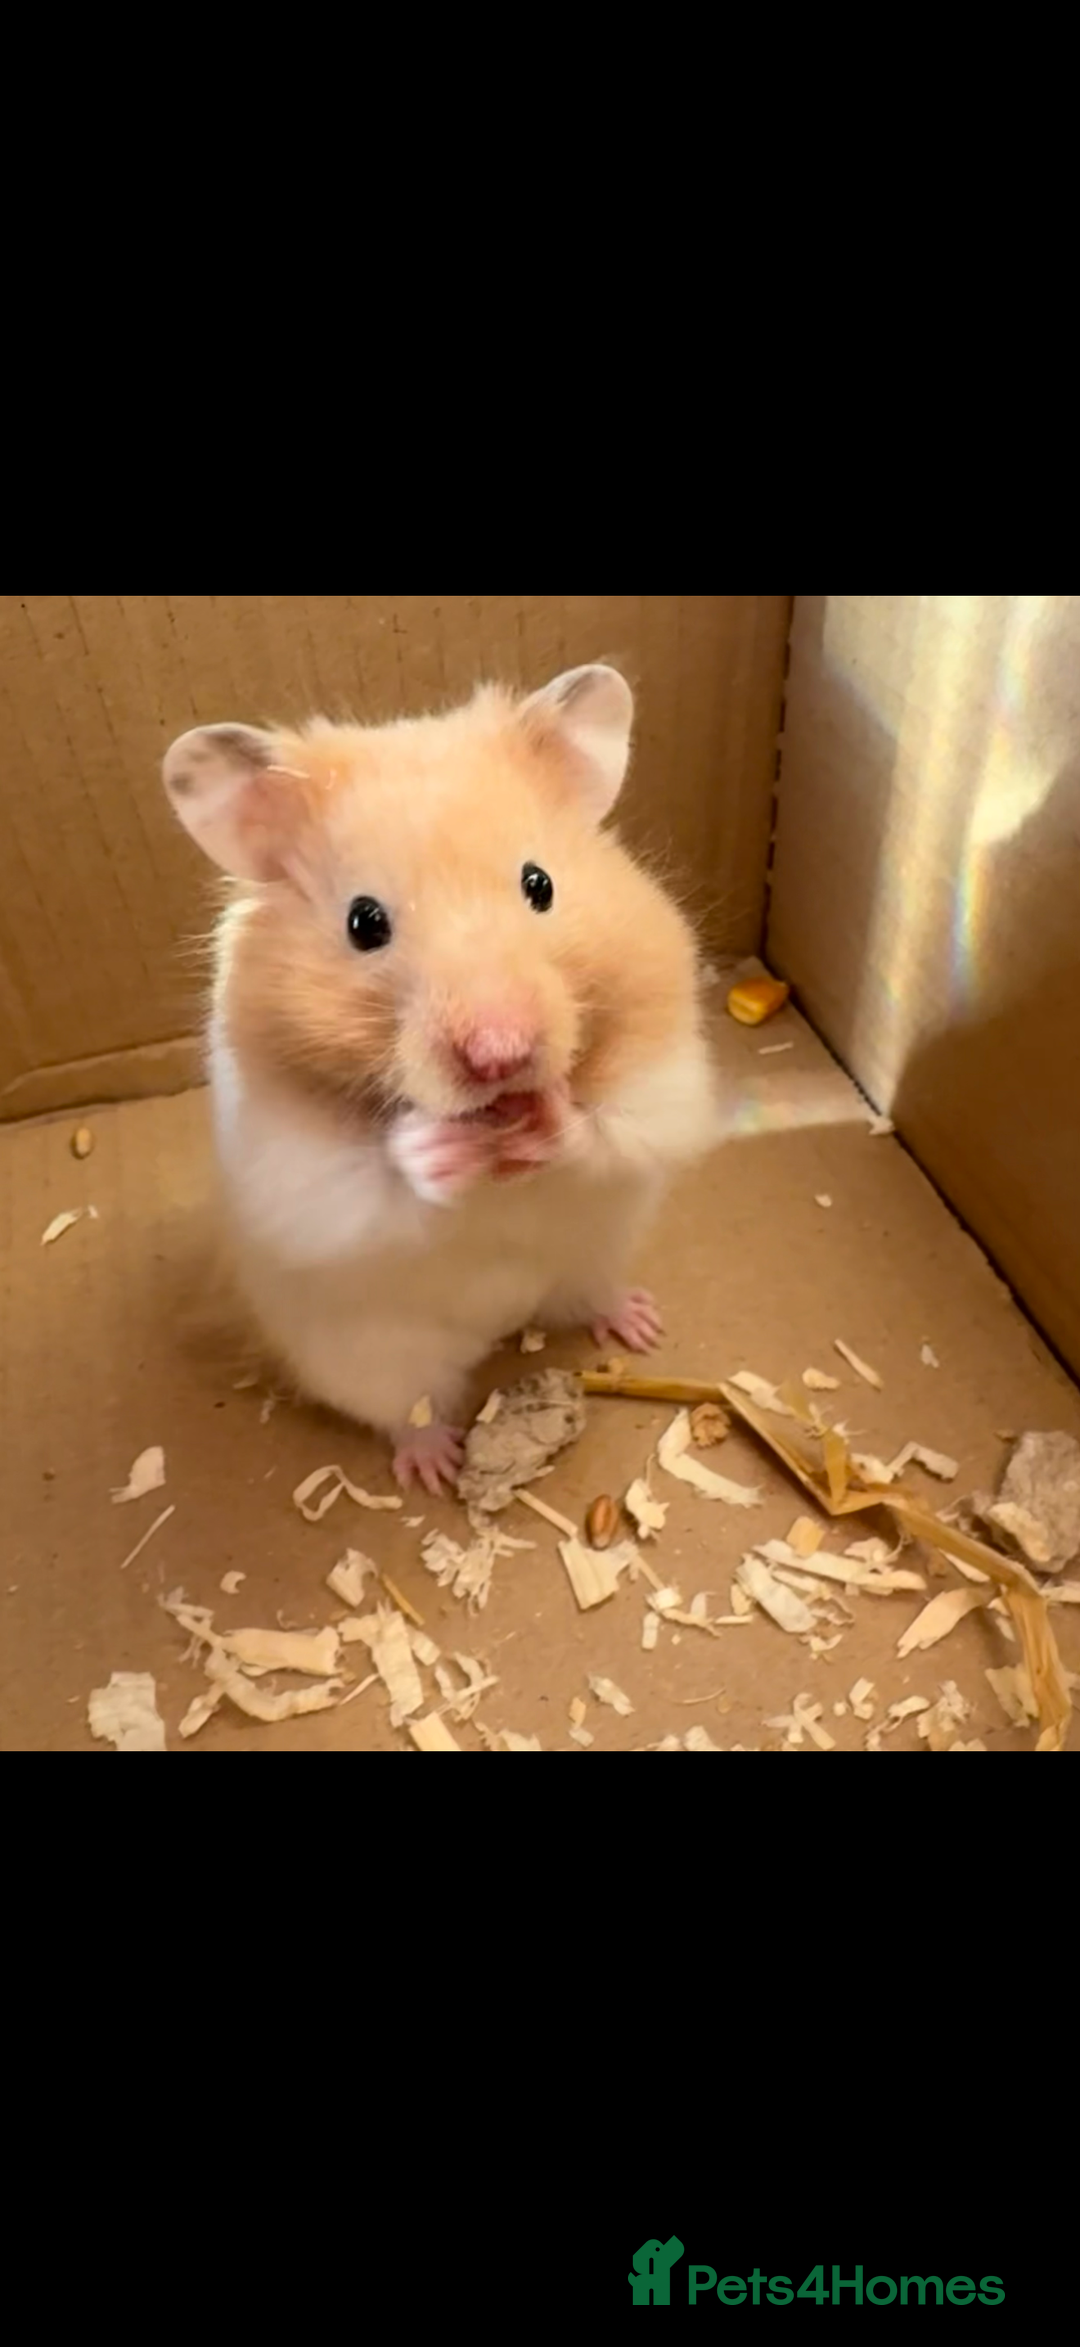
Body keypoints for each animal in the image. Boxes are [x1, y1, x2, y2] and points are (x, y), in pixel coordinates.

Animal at [164, 664, 720, 1493]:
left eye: (539, 883)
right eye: (364, 922)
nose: (499, 1053)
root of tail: (507, 1321)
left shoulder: (661, 1085)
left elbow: (605, 1125)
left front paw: (547, 1116)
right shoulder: (297, 1175)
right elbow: (379, 1181)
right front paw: (434, 1149)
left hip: (595, 1256)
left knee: (589, 1296)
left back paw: (637, 1320)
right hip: (371, 1360)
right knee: (405, 1409)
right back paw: (432, 1462)